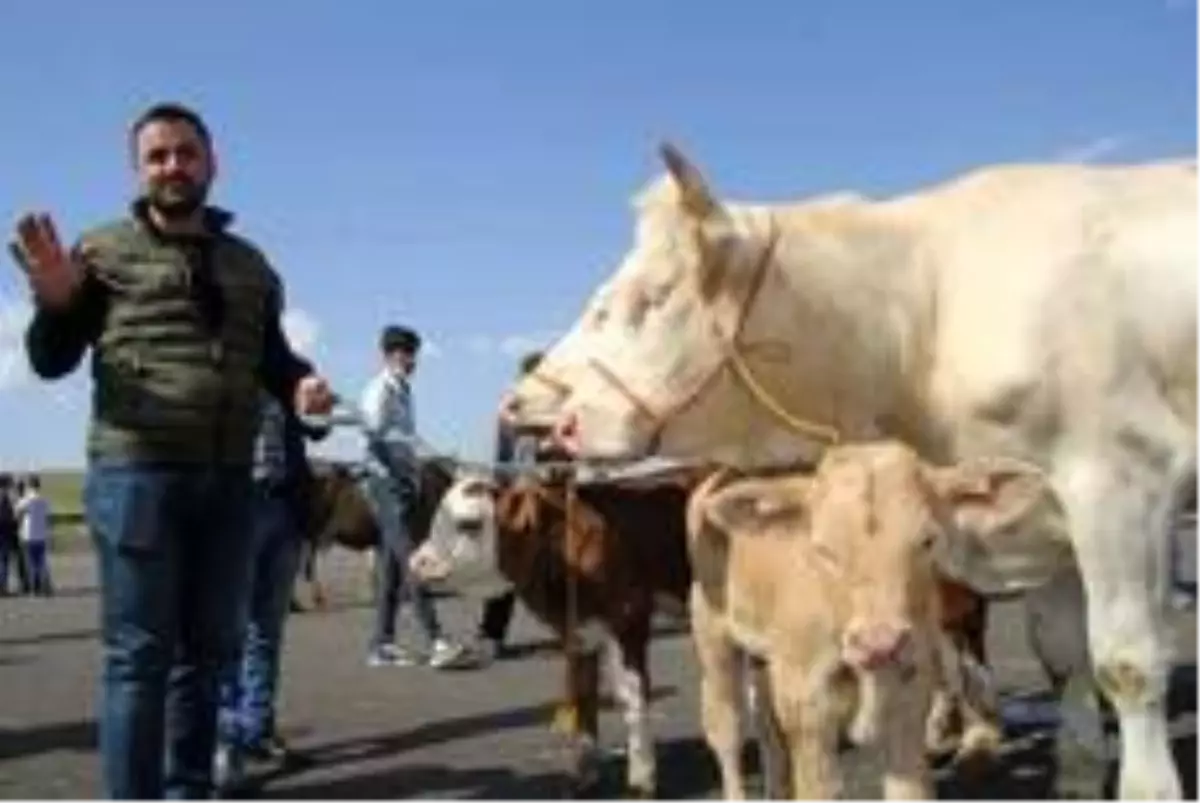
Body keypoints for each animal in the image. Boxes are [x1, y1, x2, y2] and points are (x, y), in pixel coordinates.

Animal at [504, 145, 1200, 801]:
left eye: (653, 296)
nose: (522, 404)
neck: (925, 310)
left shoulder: (1120, 482)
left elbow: (1126, 662)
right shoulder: (1046, 515)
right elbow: (1063, 651)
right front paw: (1078, 775)